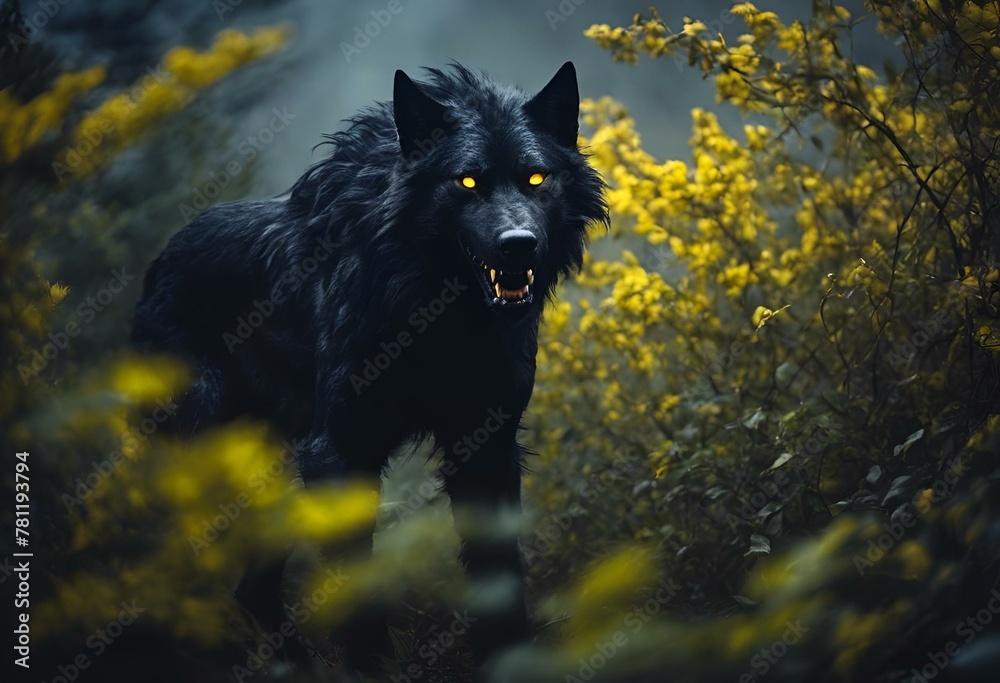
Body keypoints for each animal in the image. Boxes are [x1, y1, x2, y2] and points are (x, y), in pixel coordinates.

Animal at [130, 61, 607, 670]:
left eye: (536, 178)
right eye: (467, 182)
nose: (518, 245)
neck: (439, 314)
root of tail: (159, 264)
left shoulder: (485, 445)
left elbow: (499, 574)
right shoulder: (338, 450)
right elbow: (356, 583)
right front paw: (372, 665)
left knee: (252, 590)